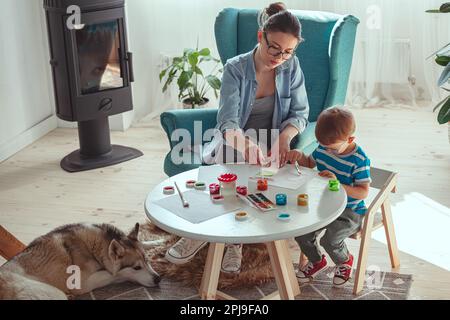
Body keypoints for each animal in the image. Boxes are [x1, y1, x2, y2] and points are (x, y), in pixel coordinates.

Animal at [0, 222, 161, 300]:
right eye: (136, 268)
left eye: (147, 261)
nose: (158, 279)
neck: (93, 248)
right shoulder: (82, 284)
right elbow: (114, 274)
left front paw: (157, 242)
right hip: (53, 293)